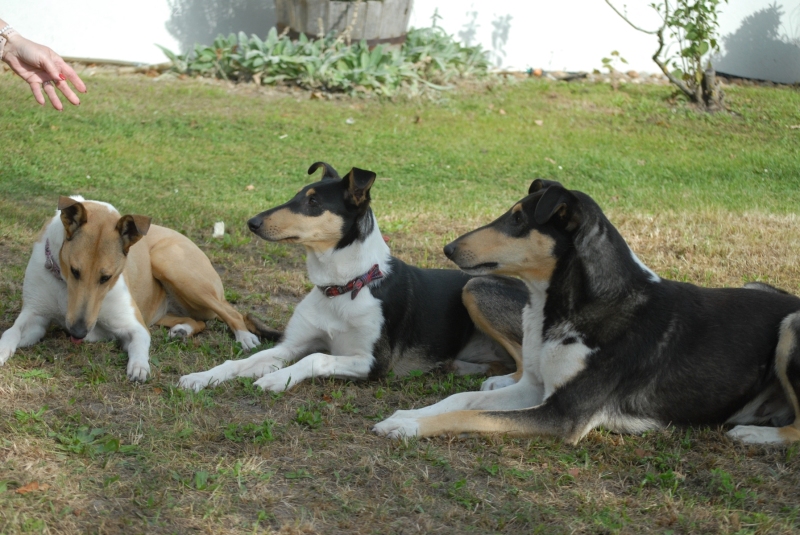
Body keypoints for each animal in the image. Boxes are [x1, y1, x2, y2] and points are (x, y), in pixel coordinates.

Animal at [0, 196, 270, 382]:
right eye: (75, 271)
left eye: (106, 277)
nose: (77, 332)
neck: (63, 285)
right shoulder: (35, 316)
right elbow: (11, 332)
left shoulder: (133, 326)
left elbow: (140, 346)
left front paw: (139, 367)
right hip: (164, 310)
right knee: (199, 321)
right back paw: (182, 330)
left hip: (172, 265)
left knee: (230, 312)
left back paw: (245, 337)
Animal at [182, 161, 532, 392]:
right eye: (296, 196)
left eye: (313, 202)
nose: (252, 222)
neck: (343, 287)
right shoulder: (291, 344)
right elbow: (240, 363)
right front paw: (201, 377)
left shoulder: (373, 361)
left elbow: (316, 358)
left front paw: (275, 378)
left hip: (476, 286)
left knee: (524, 364)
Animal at [374, 178, 800, 446]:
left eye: (518, 219)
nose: (448, 248)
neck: (566, 311)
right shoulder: (535, 388)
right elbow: (461, 401)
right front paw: (407, 416)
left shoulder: (564, 414)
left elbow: (473, 417)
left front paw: (409, 429)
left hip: (791, 326)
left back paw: (757, 436)